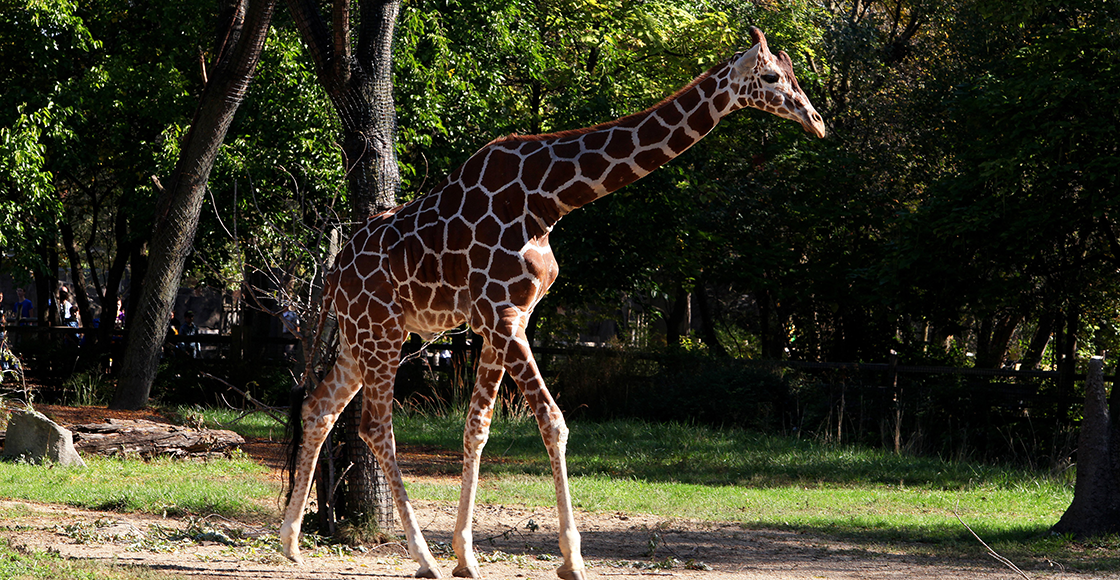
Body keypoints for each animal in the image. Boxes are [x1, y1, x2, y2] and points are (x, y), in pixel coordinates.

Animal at [280, 26, 824, 580]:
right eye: (773, 77)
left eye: (794, 73)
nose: (817, 122)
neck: (549, 199)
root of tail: (333, 274)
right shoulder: (502, 316)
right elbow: (553, 421)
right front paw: (571, 558)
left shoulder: (505, 319)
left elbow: (477, 428)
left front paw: (466, 555)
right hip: (382, 333)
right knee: (374, 427)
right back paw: (422, 558)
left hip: (361, 337)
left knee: (319, 408)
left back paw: (291, 544)